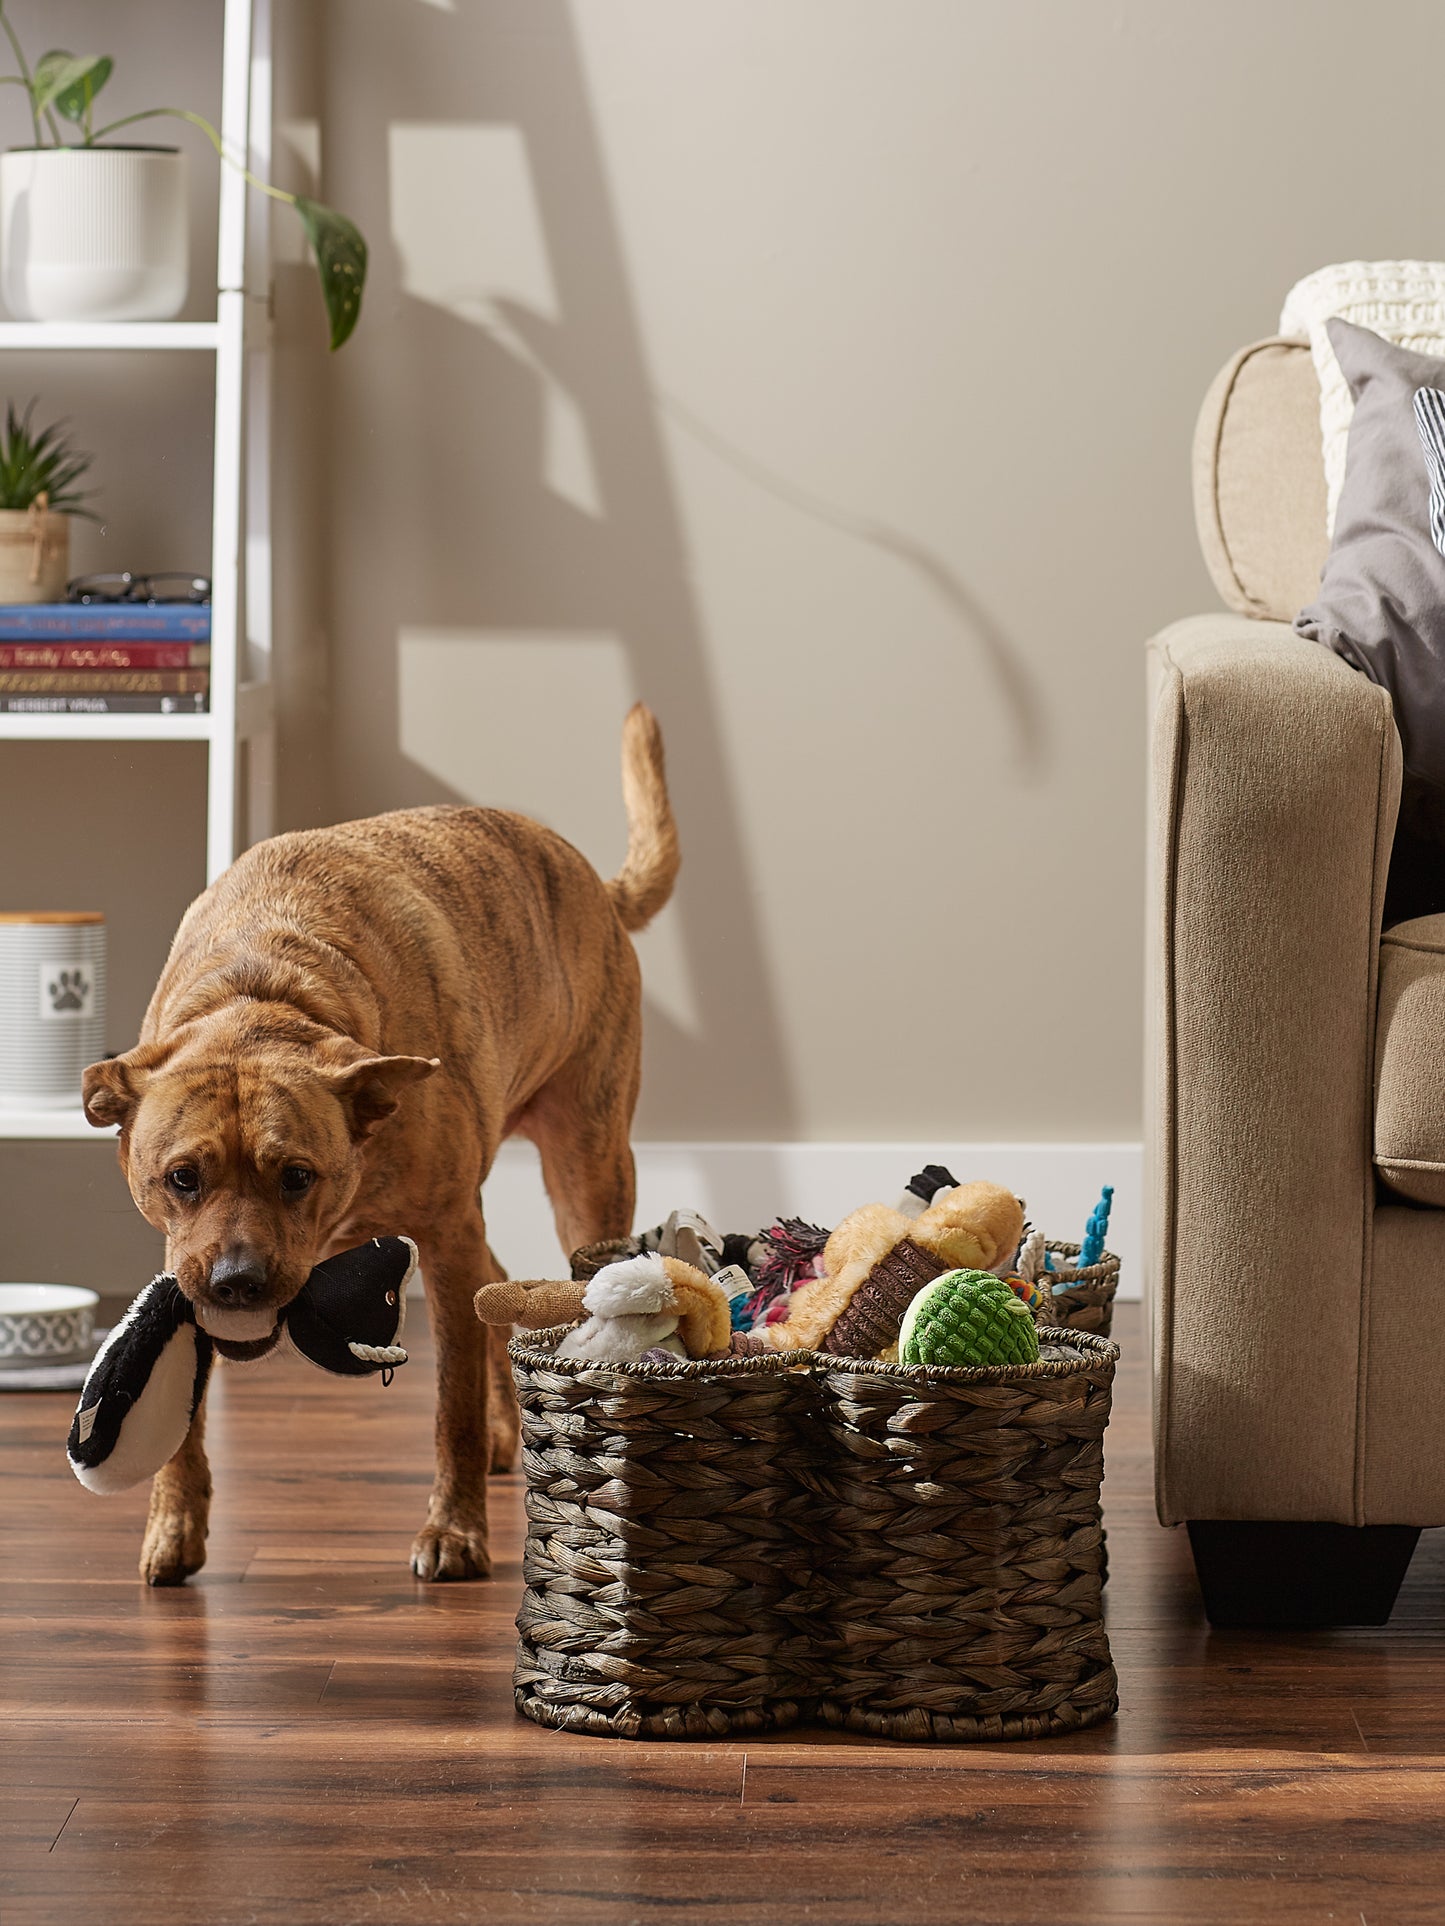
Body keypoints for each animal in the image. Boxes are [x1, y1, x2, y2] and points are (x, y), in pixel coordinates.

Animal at [81, 704, 682, 1579]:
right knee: (500, 1290)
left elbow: (449, 1406)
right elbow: (181, 1410)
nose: (236, 1283)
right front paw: (173, 1523)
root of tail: (596, 888)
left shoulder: (446, 1232)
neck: (262, 991)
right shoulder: (180, 1258)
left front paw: (455, 1532)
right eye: (182, 1178)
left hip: (588, 1164)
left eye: (296, 1176)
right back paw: (507, 1431)